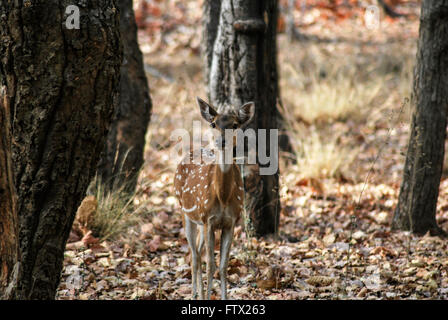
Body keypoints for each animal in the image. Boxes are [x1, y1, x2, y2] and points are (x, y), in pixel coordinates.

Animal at [173, 96, 254, 298]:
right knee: (194, 256)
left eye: (235, 124)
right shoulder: (208, 220)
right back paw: (194, 294)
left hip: (201, 223)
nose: (221, 141)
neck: (223, 197)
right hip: (186, 213)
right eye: (213, 124)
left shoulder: (230, 222)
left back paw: (199, 294)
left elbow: (223, 266)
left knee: (197, 252)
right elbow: (210, 265)